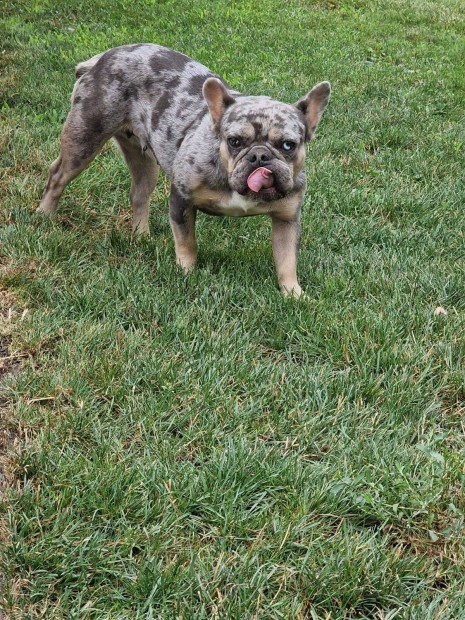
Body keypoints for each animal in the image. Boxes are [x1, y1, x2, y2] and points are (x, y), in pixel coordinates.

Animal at [40, 43, 330, 296]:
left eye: (288, 145)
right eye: (234, 141)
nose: (260, 156)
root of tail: (101, 59)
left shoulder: (286, 219)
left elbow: (286, 259)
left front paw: (293, 294)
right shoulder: (181, 199)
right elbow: (186, 241)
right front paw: (186, 273)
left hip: (144, 161)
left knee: (139, 193)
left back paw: (141, 235)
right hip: (84, 139)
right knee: (57, 176)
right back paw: (44, 216)